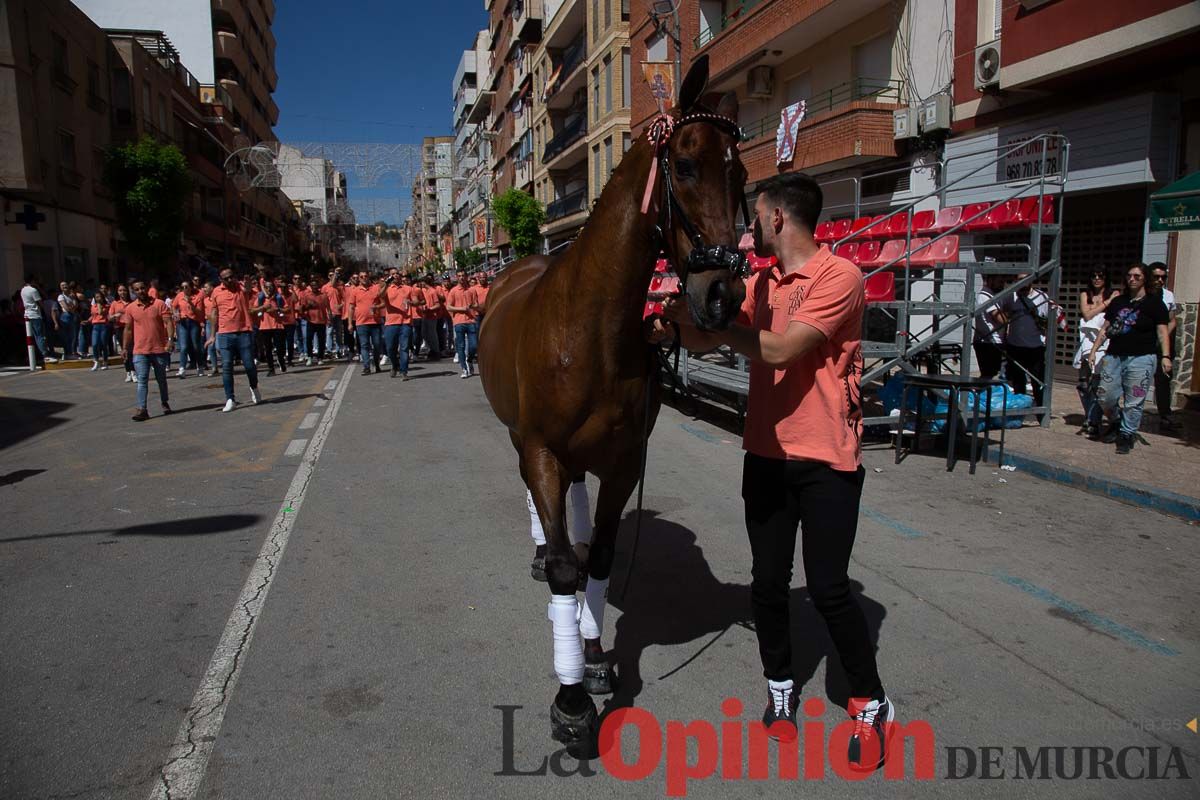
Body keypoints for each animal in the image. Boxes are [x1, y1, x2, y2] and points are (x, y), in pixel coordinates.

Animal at [477, 57, 748, 758]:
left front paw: (594, 652)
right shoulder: (541, 448)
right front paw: (571, 699)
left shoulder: (625, 461)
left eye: (738, 174)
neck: (591, 331)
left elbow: (597, 557)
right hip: (522, 440)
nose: (722, 294)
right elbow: (564, 567)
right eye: (686, 165)